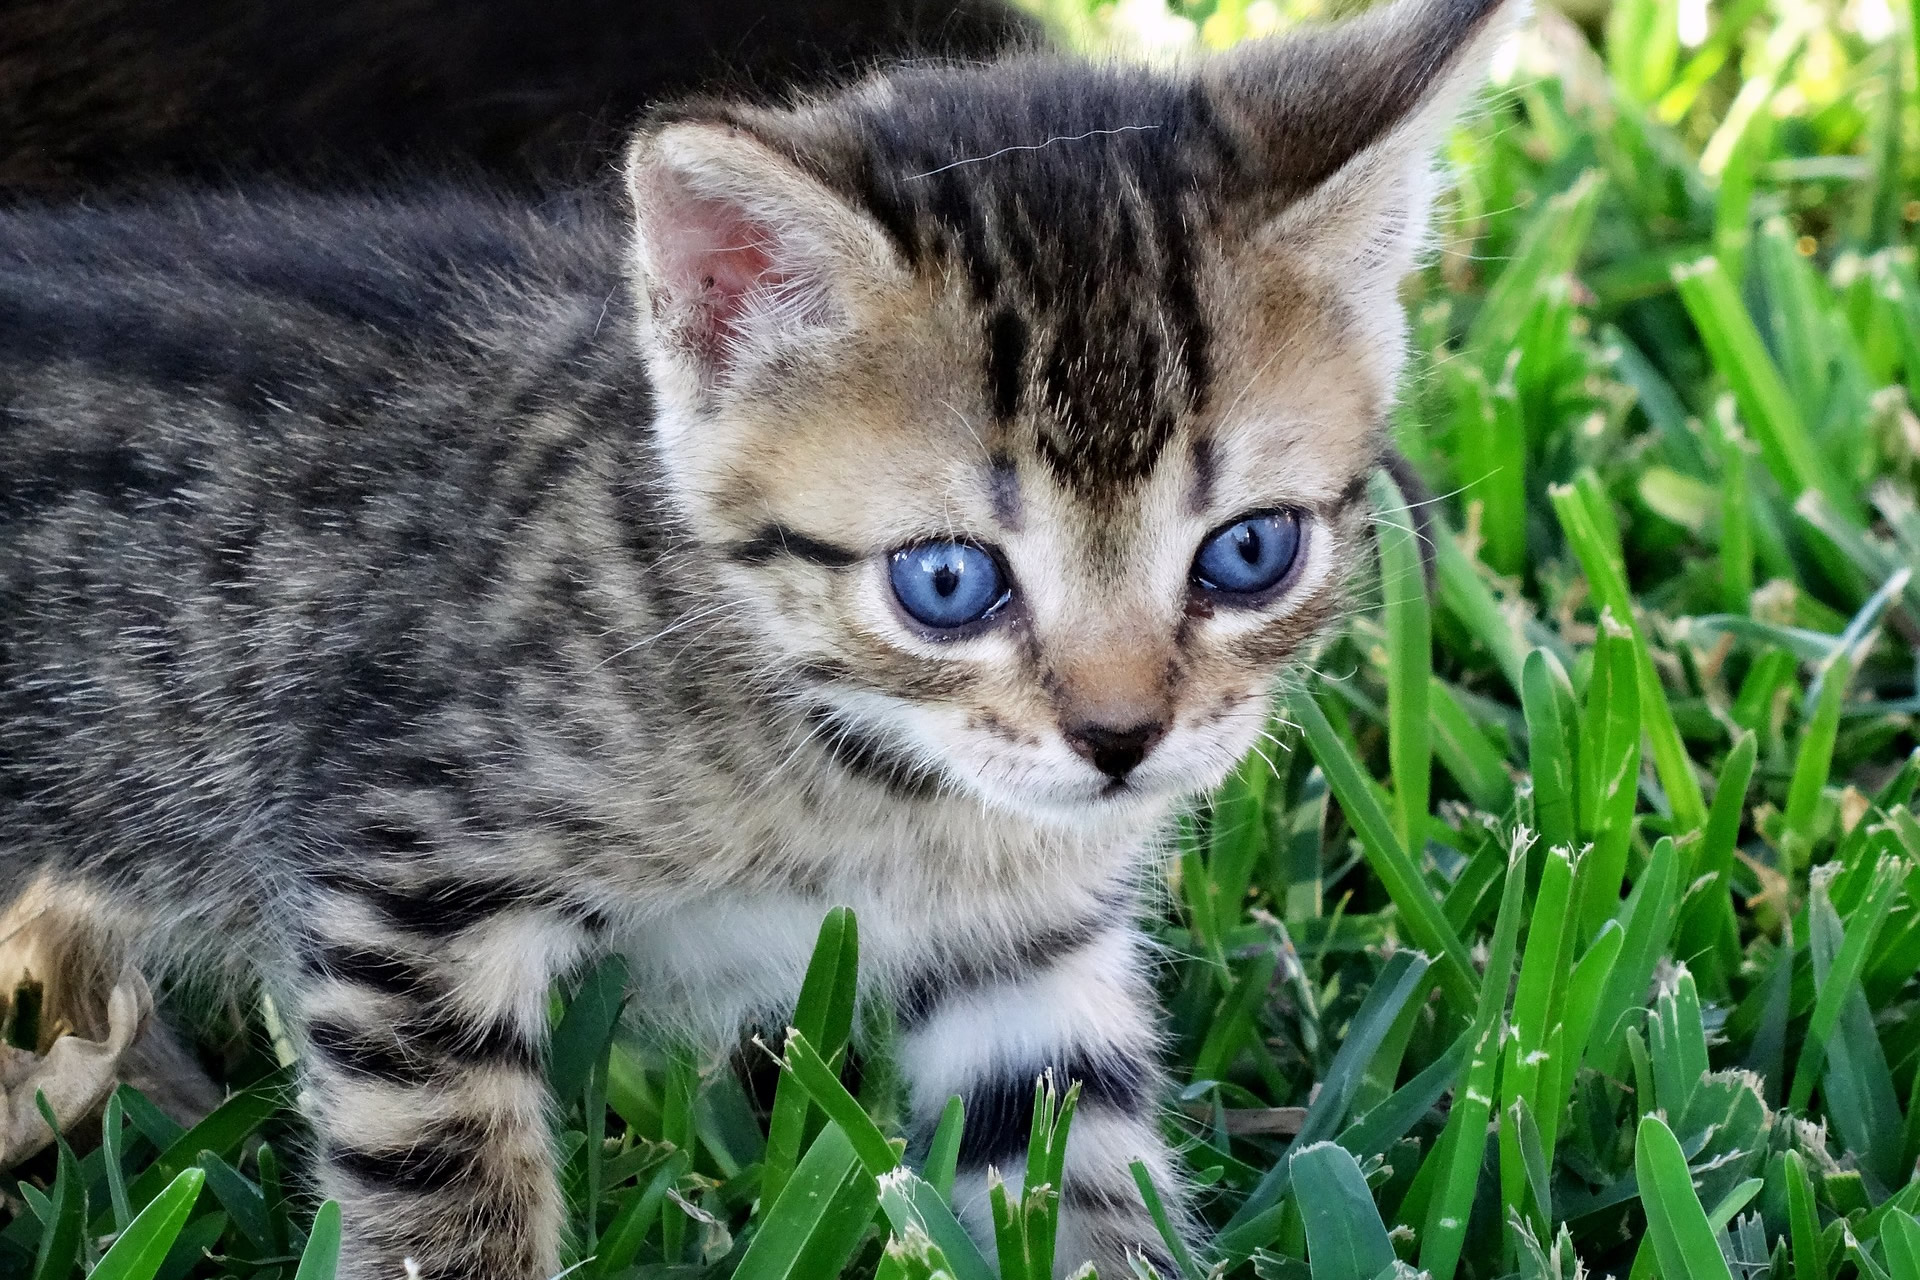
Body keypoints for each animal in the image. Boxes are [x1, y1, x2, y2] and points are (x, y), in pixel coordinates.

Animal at [0, 0, 1520, 1274]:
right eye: (948, 583)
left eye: (1250, 553)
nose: (1119, 738)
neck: (871, 775)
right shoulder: (407, 855)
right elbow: (442, 1166)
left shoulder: (1028, 954)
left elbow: (1066, 1153)